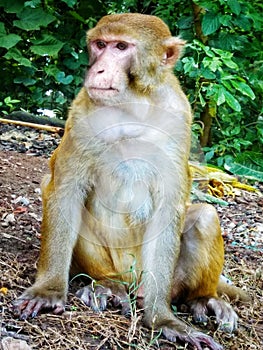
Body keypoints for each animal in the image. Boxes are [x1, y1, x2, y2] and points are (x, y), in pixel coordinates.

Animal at [12, 13, 250, 350]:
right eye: (100, 45)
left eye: (121, 47)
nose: (98, 69)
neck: (132, 106)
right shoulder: (81, 112)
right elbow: (64, 190)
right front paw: (49, 291)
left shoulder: (179, 119)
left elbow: (169, 209)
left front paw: (162, 318)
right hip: (117, 267)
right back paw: (108, 286)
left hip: (161, 277)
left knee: (204, 216)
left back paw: (203, 298)